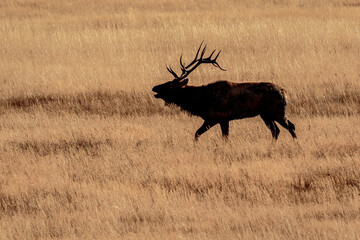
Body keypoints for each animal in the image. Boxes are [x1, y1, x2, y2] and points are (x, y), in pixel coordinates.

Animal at [150, 43, 296, 141]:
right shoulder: (217, 119)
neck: (200, 102)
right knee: (276, 130)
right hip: (265, 114)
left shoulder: (220, 117)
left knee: (290, 127)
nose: (154, 88)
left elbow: (201, 134)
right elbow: (200, 134)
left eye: (170, 85)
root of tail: (285, 93)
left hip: (277, 112)